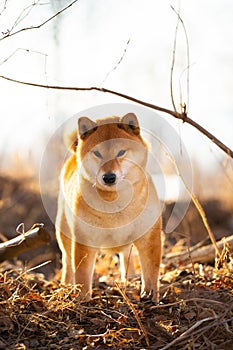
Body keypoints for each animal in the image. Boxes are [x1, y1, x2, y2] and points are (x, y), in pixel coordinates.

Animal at [56, 113, 162, 302]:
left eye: (121, 152)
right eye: (97, 153)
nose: (109, 177)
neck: (115, 202)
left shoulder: (149, 237)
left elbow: (151, 272)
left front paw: (150, 297)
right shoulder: (84, 240)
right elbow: (82, 274)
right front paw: (82, 298)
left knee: (126, 256)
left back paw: (130, 278)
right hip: (64, 233)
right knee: (67, 262)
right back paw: (66, 286)